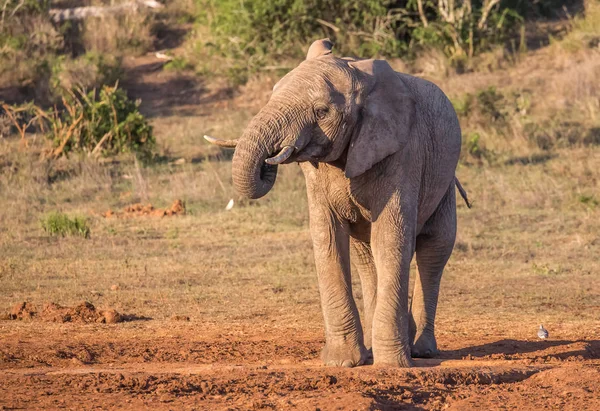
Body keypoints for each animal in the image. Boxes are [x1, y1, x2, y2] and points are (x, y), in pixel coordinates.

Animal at [205, 37, 468, 366]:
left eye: (321, 111)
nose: (270, 158)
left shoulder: (404, 154)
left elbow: (391, 237)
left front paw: (392, 365)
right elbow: (327, 236)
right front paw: (343, 362)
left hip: (444, 182)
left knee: (434, 249)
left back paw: (421, 350)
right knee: (366, 255)